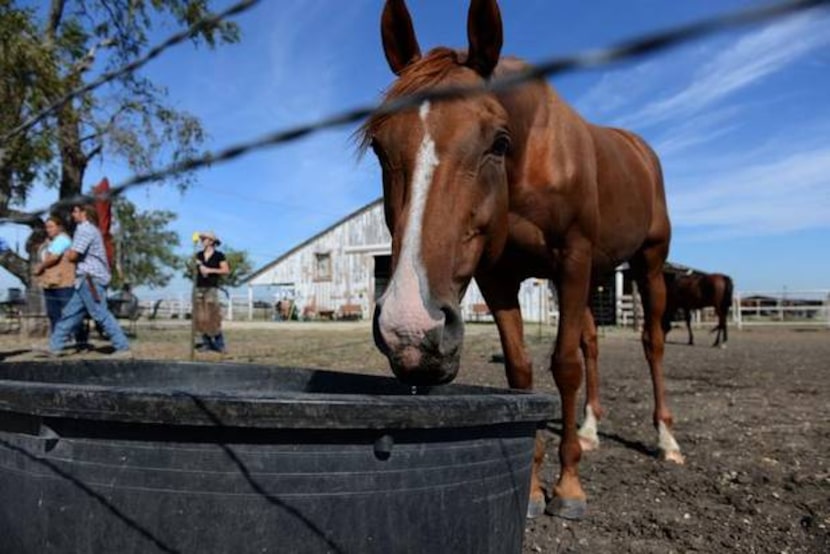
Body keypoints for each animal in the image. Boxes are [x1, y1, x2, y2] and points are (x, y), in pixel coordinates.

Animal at [362, 0, 684, 516]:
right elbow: (521, 372)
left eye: (498, 141)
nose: (409, 330)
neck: (533, 154)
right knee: (592, 342)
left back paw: (666, 440)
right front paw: (532, 487)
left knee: (651, 343)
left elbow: (564, 367)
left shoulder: (572, 259)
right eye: (379, 146)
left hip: (647, 265)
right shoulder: (499, 277)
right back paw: (590, 429)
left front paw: (568, 487)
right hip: (593, 276)